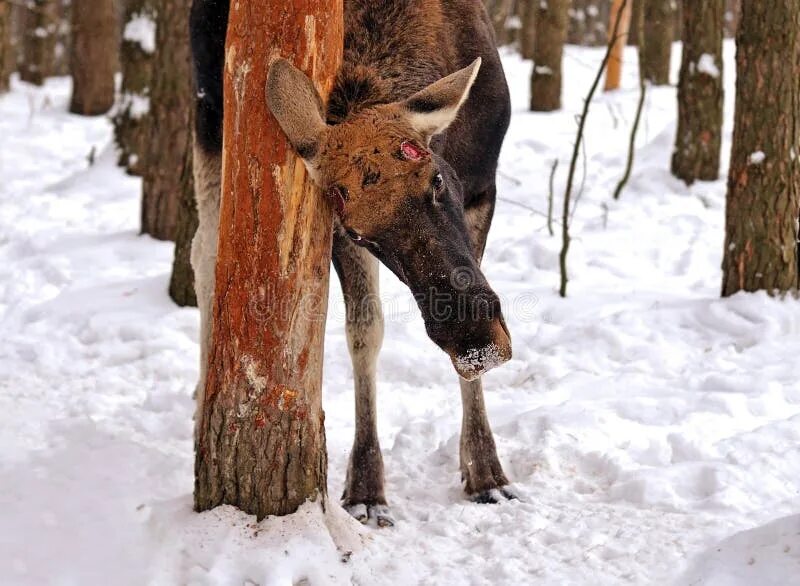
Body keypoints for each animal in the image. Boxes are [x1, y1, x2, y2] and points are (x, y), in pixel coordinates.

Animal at [190, 0, 512, 524]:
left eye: (436, 179)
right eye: (361, 230)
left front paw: (488, 473)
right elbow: (365, 332)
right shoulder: (338, 235)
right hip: (210, 112)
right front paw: (365, 487)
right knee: (206, 253)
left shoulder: (483, 189)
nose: (475, 342)